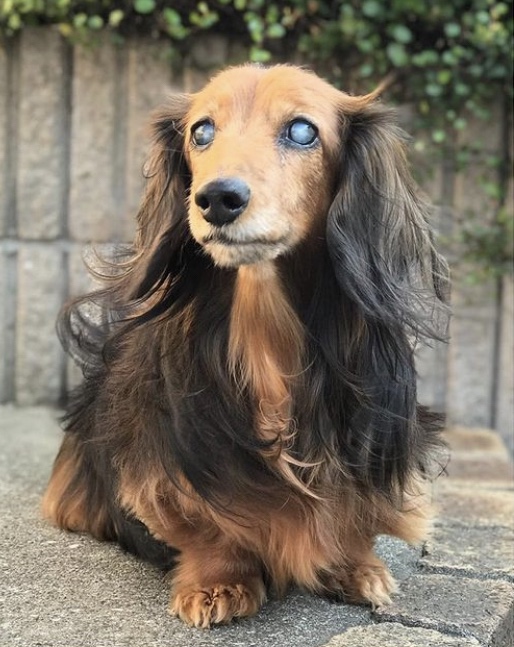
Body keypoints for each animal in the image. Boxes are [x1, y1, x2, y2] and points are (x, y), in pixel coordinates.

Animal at [42, 64, 446, 628]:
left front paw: (355, 565)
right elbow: (202, 519)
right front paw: (219, 581)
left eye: (302, 130)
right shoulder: (167, 461)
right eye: (201, 131)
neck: (265, 332)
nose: (217, 199)